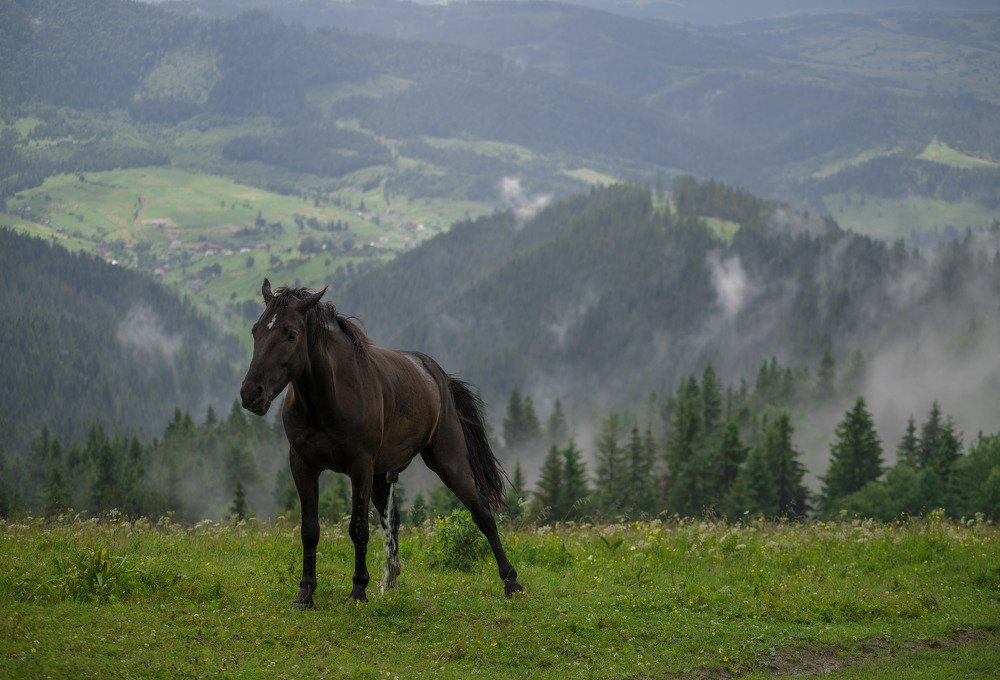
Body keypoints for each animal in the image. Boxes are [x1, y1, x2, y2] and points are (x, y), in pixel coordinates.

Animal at [239, 279, 524, 606]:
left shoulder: (359, 467)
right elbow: (310, 530)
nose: (251, 393)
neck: (329, 399)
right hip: (381, 476)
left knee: (482, 514)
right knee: (394, 520)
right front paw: (305, 593)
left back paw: (511, 581)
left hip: (449, 464)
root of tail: (437, 375)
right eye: (256, 330)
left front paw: (358, 590)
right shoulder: (303, 464)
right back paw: (391, 580)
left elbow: (358, 528)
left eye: (291, 334)